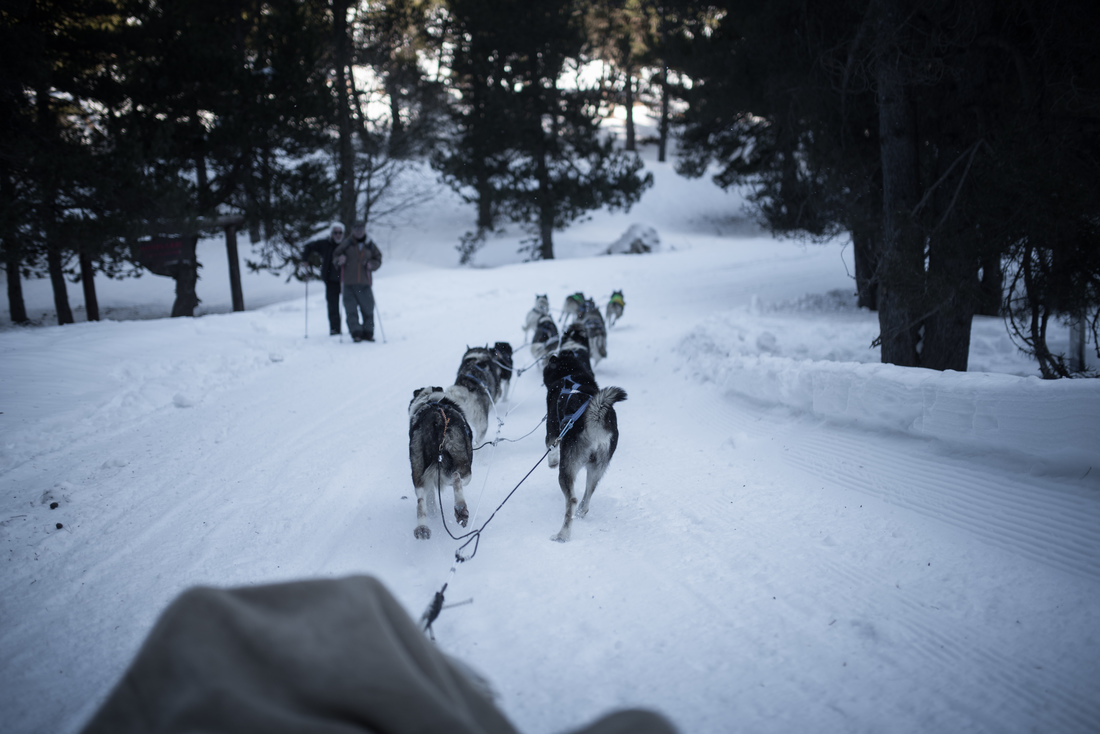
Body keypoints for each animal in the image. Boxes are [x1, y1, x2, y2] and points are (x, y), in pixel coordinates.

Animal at [407, 385, 470, 539]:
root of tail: (436, 419)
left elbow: (429, 495)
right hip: (463, 462)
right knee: (456, 478)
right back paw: (460, 508)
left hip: (417, 464)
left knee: (421, 499)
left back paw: (422, 528)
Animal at [543, 347, 629, 543]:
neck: (570, 374)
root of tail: (595, 418)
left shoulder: (552, 432)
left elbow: (550, 448)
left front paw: (552, 462)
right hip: (597, 469)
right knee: (588, 493)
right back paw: (581, 512)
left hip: (567, 469)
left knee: (572, 501)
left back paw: (562, 535)